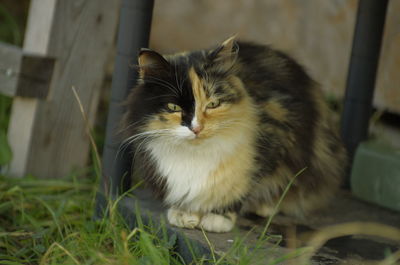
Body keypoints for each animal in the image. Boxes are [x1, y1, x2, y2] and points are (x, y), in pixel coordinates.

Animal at [121, 36, 346, 231]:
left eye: (213, 104)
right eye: (173, 107)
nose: (196, 128)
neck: (195, 154)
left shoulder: (274, 142)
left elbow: (241, 189)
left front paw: (218, 218)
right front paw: (184, 214)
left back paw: (266, 207)